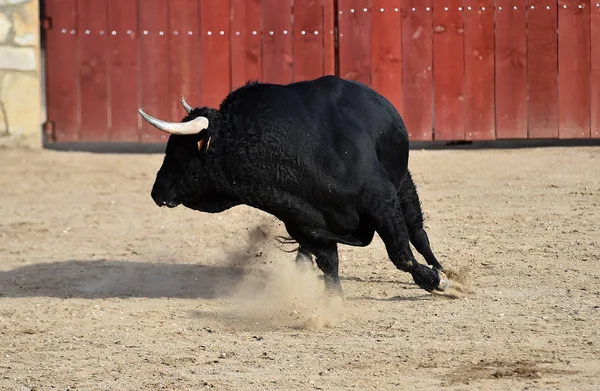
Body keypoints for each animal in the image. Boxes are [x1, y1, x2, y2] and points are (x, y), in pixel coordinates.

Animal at [141, 75, 448, 296]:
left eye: (180, 152)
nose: (156, 192)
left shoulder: (381, 201)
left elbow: (401, 254)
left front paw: (435, 280)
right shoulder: (304, 221)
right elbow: (329, 263)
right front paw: (332, 302)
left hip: (403, 181)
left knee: (417, 231)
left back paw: (442, 270)